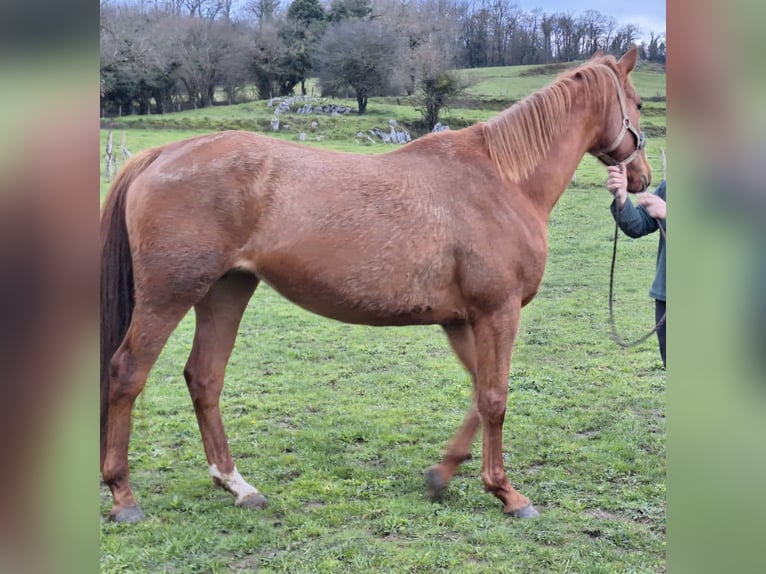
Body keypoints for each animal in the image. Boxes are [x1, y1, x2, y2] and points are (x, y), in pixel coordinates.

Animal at [100, 46, 656, 520]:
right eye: (638, 103)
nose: (643, 178)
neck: (503, 181)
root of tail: (163, 154)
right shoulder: (497, 312)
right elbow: (495, 398)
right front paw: (506, 492)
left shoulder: (461, 321)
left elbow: (479, 395)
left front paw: (442, 475)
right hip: (171, 293)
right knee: (127, 373)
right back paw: (123, 496)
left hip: (226, 290)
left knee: (204, 378)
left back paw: (237, 486)